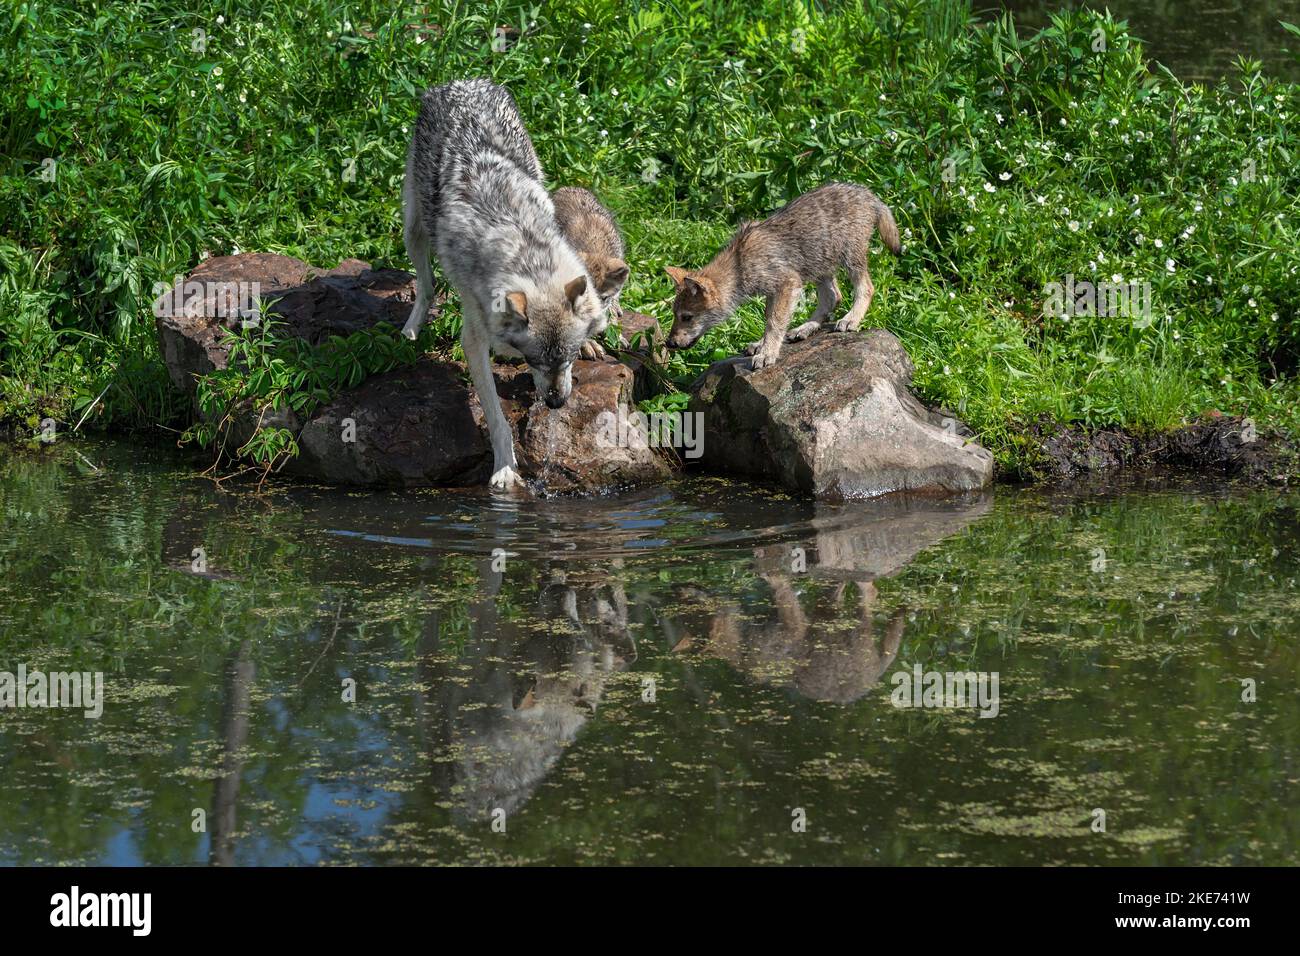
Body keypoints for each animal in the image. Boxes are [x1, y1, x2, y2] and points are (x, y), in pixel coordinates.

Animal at [400, 78, 603, 489]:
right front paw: (505, 468)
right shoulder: (474, 339)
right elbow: (495, 416)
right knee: (426, 286)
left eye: (569, 357)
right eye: (534, 360)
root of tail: (461, 81)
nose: (556, 404)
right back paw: (412, 329)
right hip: (412, 228)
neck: (522, 242)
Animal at [665, 180, 899, 369]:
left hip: (849, 258)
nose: (669, 343)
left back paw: (850, 319)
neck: (740, 266)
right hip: (818, 266)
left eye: (686, 317)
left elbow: (774, 323)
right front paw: (761, 345)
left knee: (866, 288)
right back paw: (804, 328)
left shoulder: (787, 284)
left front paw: (767, 353)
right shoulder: (774, 291)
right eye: (675, 315)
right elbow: (769, 319)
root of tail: (867, 192)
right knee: (834, 297)